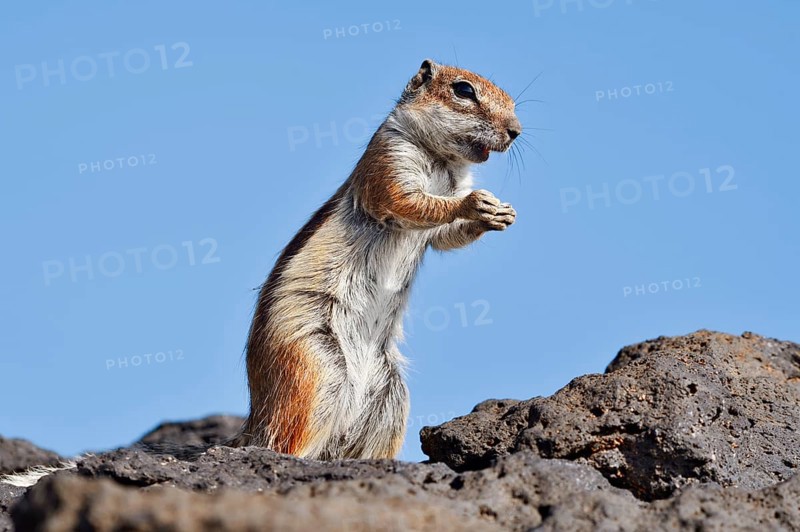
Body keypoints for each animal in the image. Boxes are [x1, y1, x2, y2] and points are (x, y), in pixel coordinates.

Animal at [233, 59, 522, 459]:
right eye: (463, 90)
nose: (516, 131)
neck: (442, 161)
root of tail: (255, 416)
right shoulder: (388, 161)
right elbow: (408, 202)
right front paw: (474, 203)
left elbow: (445, 237)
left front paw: (500, 215)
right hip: (315, 365)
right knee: (287, 437)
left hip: (391, 396)